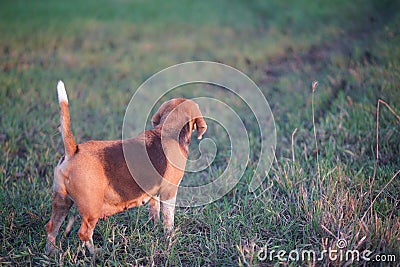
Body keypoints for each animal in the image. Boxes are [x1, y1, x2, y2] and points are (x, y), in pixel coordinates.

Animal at [46, 81, 208, 255]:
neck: (167, 131)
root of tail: (73, 150)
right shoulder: (169, 192)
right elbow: (168, 220)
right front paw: (169, 238)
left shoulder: (155, 193)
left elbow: (155, 211)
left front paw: (155, 227)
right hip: (91, 210)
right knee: (84, 233)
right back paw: (96, 253)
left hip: (61, 201)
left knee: (51, 227)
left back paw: (51, 252)